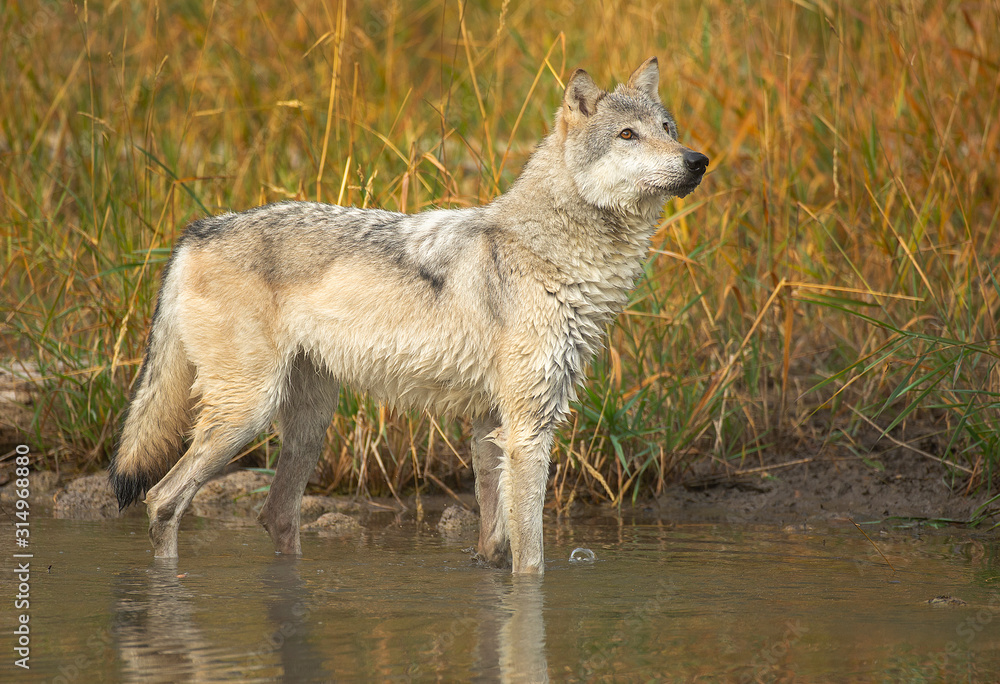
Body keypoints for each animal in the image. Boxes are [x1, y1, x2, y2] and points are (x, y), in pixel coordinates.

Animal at [109, 57, 709, 574]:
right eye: (628, 136)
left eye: (668, 128)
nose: (697, 160)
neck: (548, 252)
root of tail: (195, 232)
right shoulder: (528, 429)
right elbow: (531, 562)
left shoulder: (490, 424)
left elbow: (494, 544)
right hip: (246, 416)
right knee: (162, 499)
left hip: (308, 425)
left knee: (275, 514)